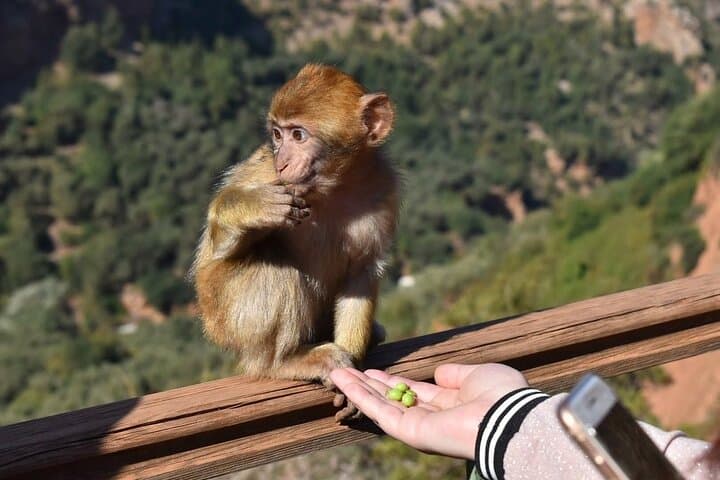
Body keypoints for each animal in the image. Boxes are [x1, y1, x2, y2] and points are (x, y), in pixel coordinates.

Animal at [190, 64, 399, 421]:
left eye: (298, 135)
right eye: (277, 134)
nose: (283, 161)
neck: (334, 189)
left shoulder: (383, 191)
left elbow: (361, 273)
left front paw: (353, 376)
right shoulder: (266, 176)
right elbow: (218, 248)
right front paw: (254, 208)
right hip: (224, 316)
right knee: (274, 263)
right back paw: (283, 360)